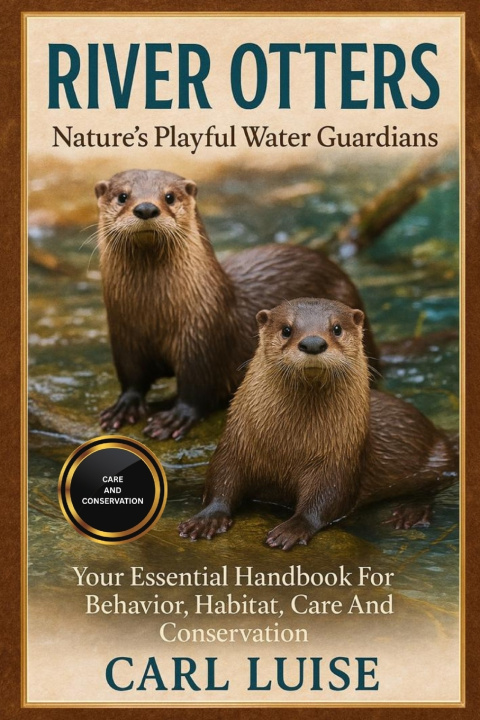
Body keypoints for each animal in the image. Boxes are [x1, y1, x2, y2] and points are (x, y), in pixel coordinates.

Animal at [95, 170, 380, 440]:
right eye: (122, 196)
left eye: (169, 196)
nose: (146, 208)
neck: (155, 317)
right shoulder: (124, 338)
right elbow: (132, 377)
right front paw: (125, 406)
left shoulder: (201, 338)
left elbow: (197, 388)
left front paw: (174, 418)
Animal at [178, 298, 458, 549]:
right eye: (286, 329)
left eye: (337, 328)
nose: (313, 342)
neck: (288, 446)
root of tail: (440, 433)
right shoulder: (235, 444)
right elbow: (221, 480)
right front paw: (207, 519)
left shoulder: (338, 462)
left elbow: (325, 499)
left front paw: (292, 529)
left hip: (438, 460)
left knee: (432, 486)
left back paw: (410, 512)